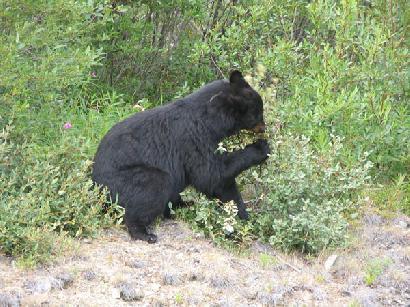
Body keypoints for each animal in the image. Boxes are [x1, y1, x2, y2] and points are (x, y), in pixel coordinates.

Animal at [94, 71, 270, 244]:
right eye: (258, 114)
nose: (264, 128)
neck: (211, 118)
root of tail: (95, 186)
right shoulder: (194, 138)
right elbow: (211, 174)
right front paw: (261, 147)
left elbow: (222, 185)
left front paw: (242, 218)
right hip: (122, 181)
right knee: (154, 184)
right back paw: (144, 232)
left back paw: (184, 204)